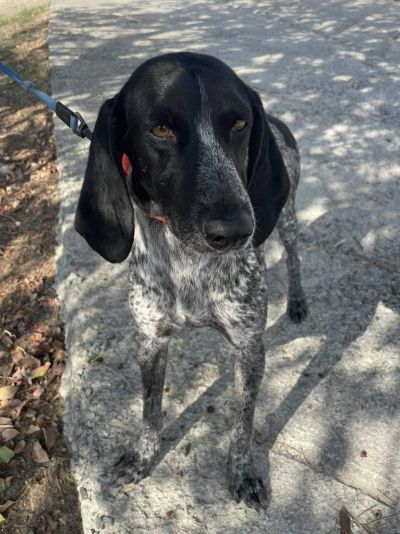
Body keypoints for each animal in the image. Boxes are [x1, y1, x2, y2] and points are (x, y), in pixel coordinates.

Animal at [74, 52, 307, 510]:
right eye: (160, 129)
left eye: (239, 124)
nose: (236, 231)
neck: (189, 265)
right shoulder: (150, 340)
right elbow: (150, 411)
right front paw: (142, 458)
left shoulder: (249, 347)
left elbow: (242, 423)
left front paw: (242, 472)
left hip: (286, 219)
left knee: (292, 255)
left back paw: (297, 299)